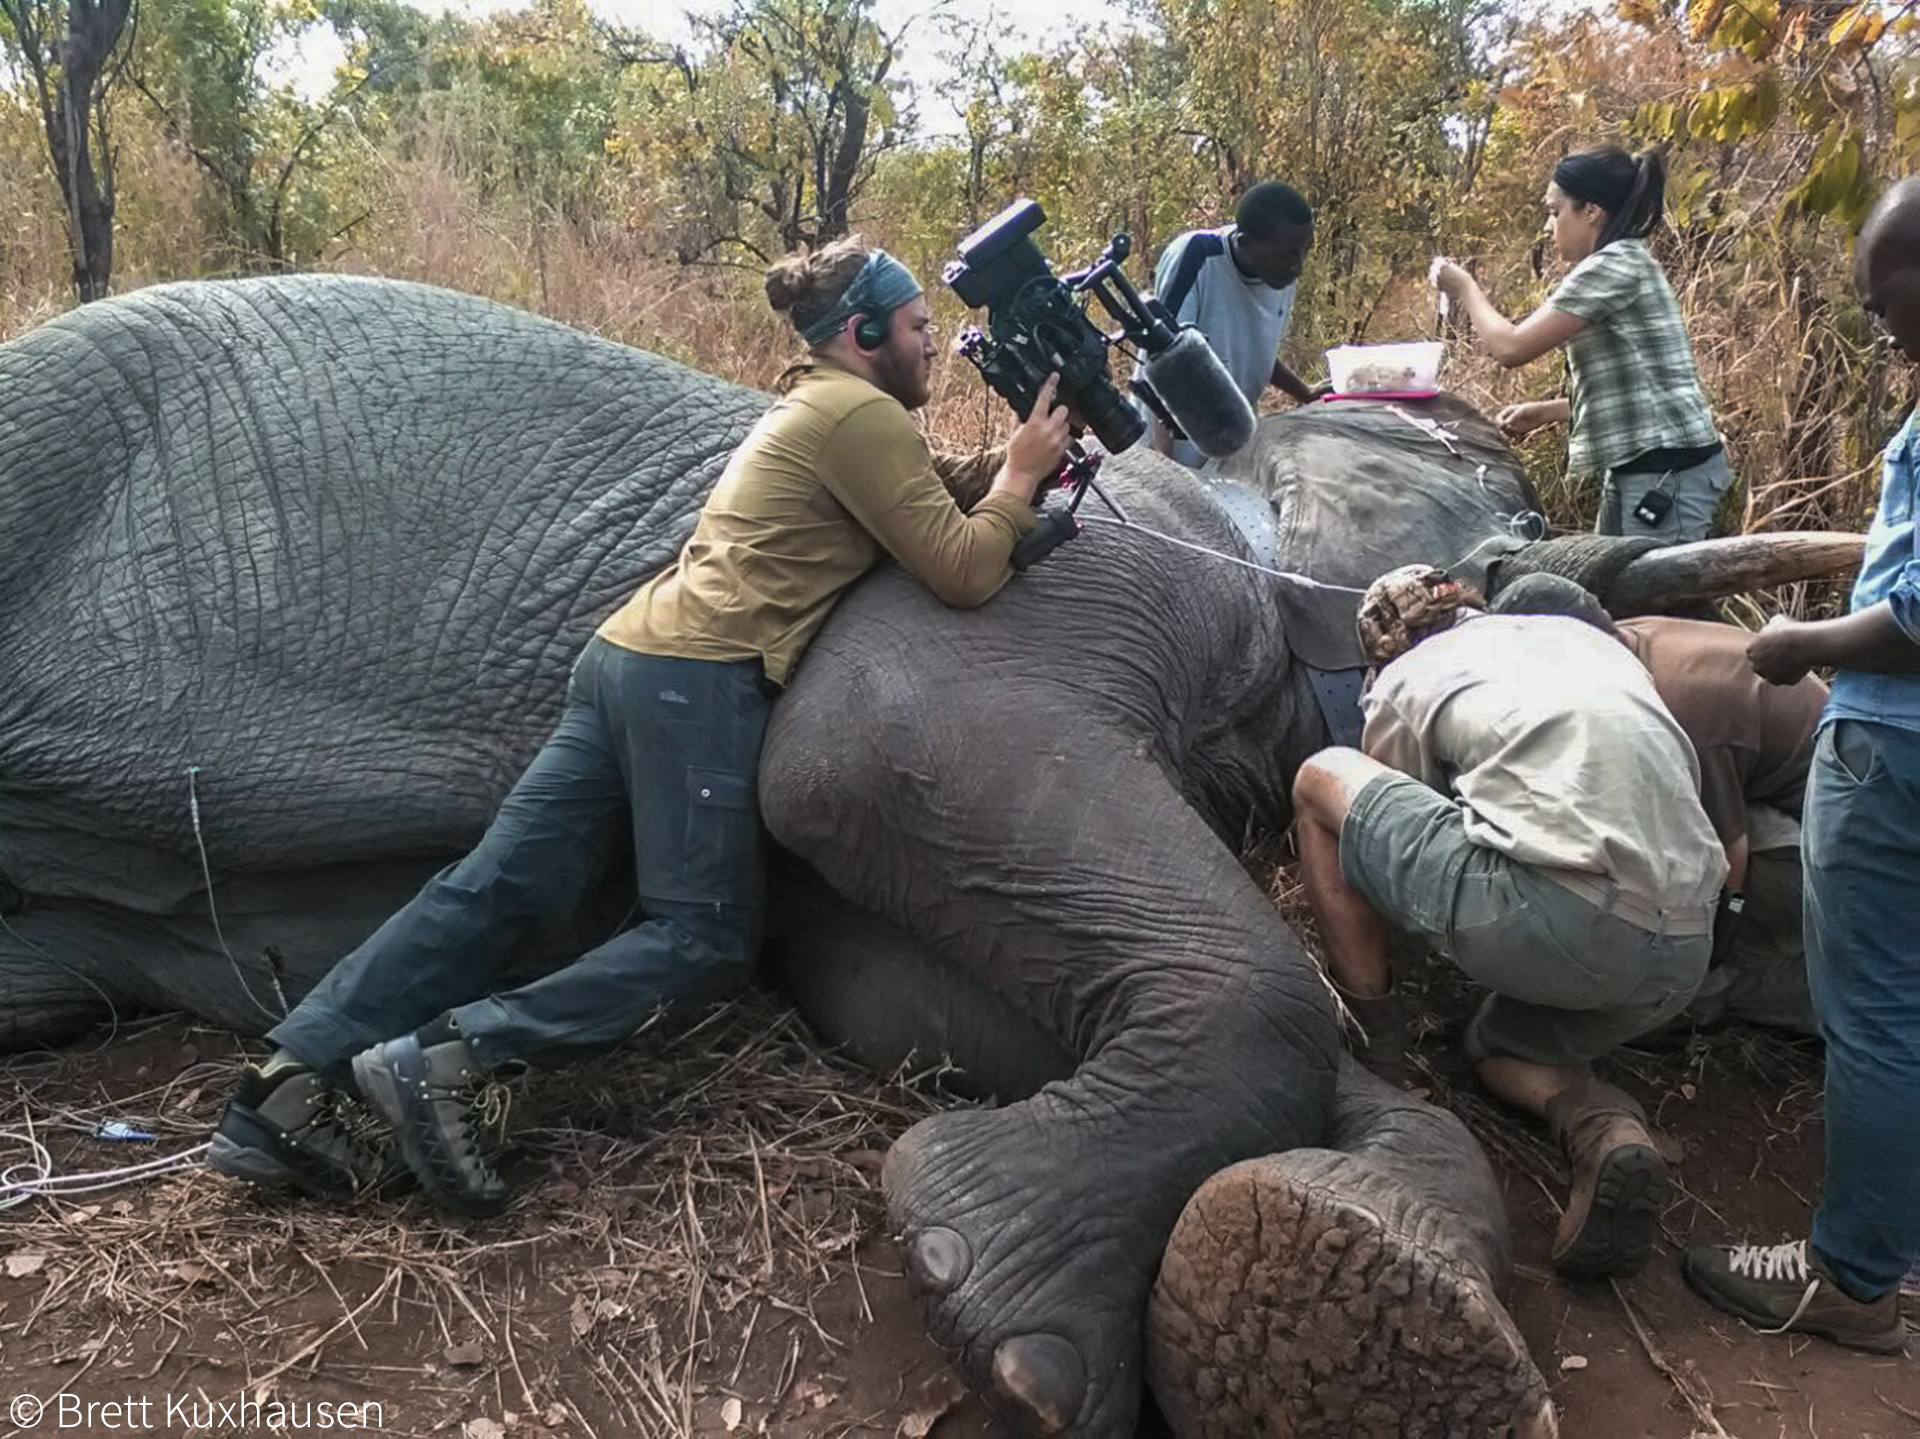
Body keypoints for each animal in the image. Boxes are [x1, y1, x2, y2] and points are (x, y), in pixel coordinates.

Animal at [0, 274, 1858, 1429]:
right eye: (1536, 529)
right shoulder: (1065, 564)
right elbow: (860, 752)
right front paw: (1015, 1328)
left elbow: (918, 986)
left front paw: (1348, 1311)